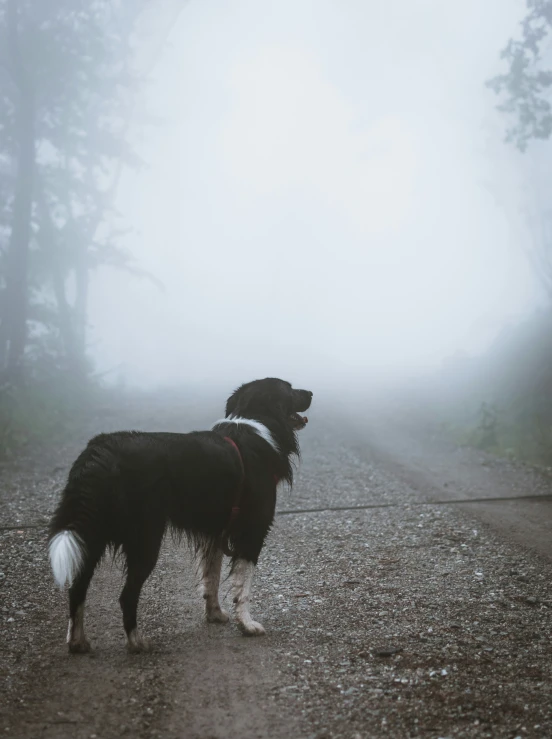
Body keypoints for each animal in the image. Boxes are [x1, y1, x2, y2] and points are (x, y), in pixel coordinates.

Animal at [49, 382, 312, 652]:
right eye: (289, 388)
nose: (311, 393)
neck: (257, 420)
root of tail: (98, 451)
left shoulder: (216, 532)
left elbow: (211, 577)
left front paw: (214, 614)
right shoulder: (252, 531)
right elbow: (242, 587)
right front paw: (247, 625)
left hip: (91, 534)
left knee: (77, 588)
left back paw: (77, 641)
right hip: (145, 538)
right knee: (125, 595)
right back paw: (136, 642)